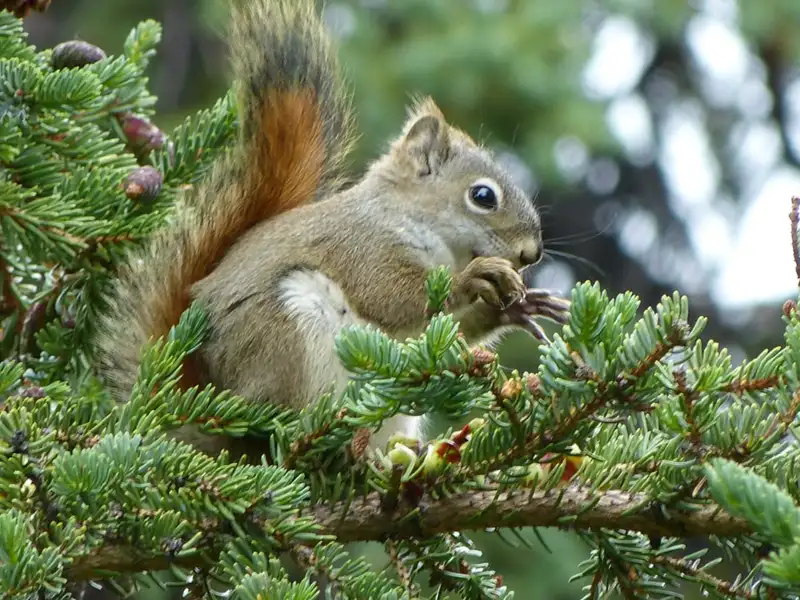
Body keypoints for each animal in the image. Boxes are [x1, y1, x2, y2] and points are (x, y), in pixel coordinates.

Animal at [95, 0, 570, 455]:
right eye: (483, 196)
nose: (531, 253)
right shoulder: (362, 247)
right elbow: (394, 297)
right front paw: (476, 277)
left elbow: (445, 333)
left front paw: (515, 308)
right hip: (285, 335)